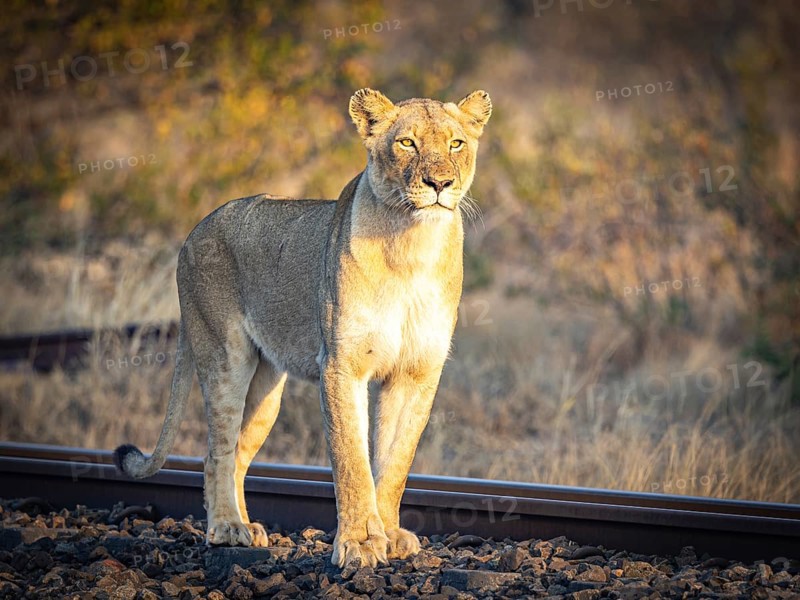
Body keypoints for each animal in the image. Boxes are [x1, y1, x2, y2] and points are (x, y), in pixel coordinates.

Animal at [114, 88, 492, 568]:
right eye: (407, 143)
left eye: (456, 144)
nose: (439, 184)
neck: (412, 245)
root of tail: (197, 228)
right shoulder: (342, 365)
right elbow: (352, 460)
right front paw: (359, 544)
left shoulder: (416, 373)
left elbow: (395, 462)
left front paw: (389, 534)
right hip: (225, 358)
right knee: (216, 452)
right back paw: (227, 528)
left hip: (266, 388)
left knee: (239, 452)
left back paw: (248, 527)